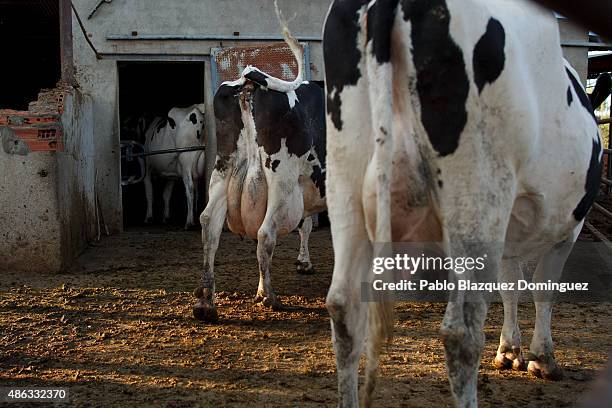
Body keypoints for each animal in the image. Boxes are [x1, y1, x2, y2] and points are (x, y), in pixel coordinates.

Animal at [192, 26, 328, 322]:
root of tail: (248, 82)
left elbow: (307, 225)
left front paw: (303, 263)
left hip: (224, 171)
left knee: (209, 225)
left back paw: (207, 301)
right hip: (282, 181)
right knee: (266, 233)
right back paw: (270, 297)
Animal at [326, 0, 604, 406]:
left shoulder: (509, 234)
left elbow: (511, 285)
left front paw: (511, 351)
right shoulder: (569, 226)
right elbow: (543, 288)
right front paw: (542, 358)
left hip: (345, 185)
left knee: (344, 307)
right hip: (475, 194)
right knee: (460, 333)